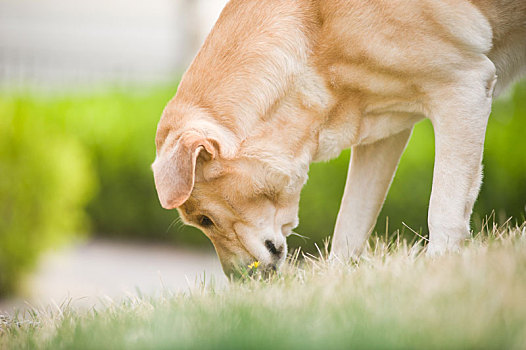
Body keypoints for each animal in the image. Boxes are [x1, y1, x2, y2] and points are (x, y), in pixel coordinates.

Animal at [152, 1, 524, 278]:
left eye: (205, 220)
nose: (239, 281)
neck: (315, 29)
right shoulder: (382, 137)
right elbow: (350, 222)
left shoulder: (462, 88)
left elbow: (444, 211)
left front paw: (438, 270)